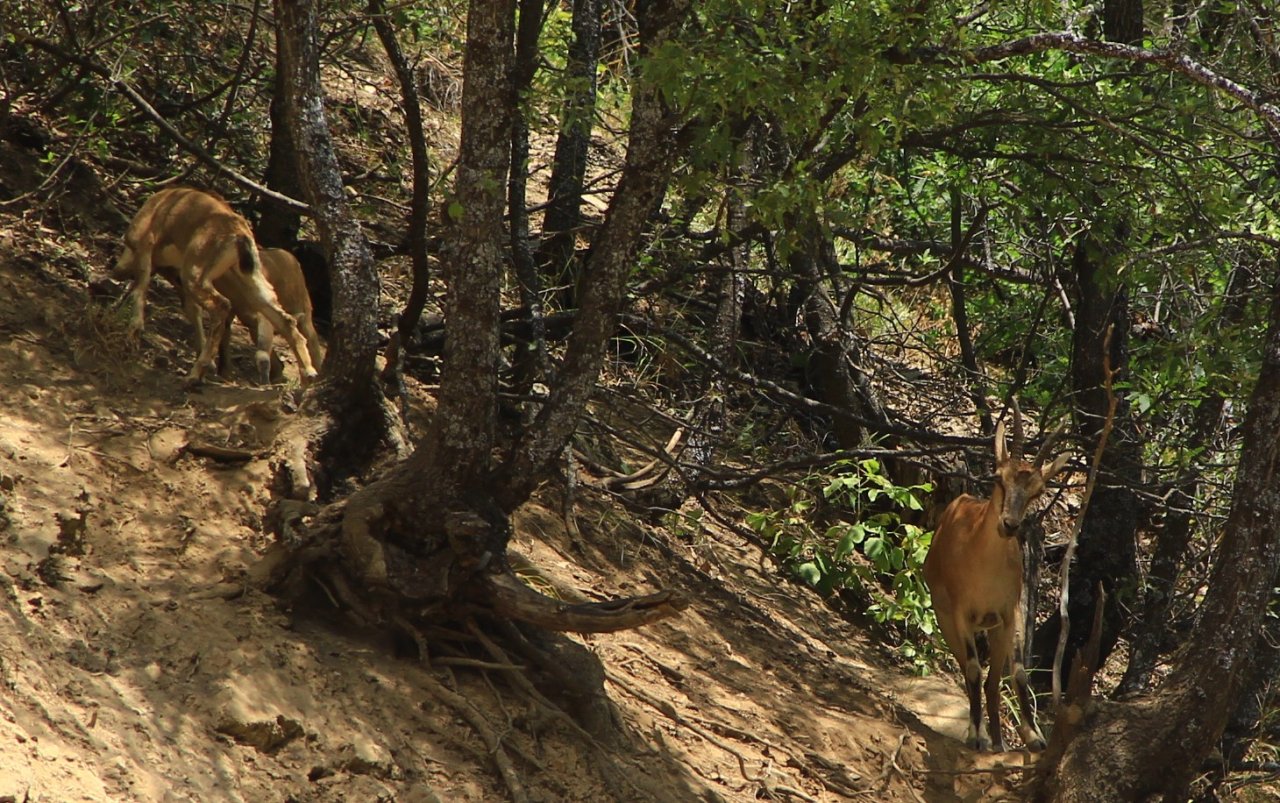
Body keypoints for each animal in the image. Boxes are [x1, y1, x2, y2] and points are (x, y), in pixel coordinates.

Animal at [115, 186, 320, 384]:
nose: (116, 269)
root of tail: (240, 237)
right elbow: (191, 310)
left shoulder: (147, 247)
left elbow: (140, 289)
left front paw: (132, 337)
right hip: (248, 280)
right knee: (285, 320)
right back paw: (308, 374)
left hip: (196, 272)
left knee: (222, 306)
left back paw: (195, 375)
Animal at [921, 404, 1070, 758]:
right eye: (998, 477)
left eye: (1037, 490)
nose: (1010, 525)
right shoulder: (961, 613)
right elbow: (974, 670)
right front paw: (977, 736)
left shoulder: (1009, 612)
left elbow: (1018, 674)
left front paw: (1034, 737)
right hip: (947, 620)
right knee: (969, 670)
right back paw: (982, 734)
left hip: (995, 628)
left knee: (993, 682)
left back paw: (1001, 741)